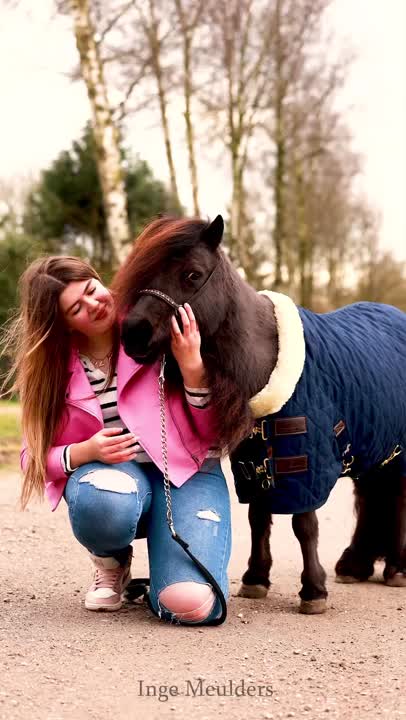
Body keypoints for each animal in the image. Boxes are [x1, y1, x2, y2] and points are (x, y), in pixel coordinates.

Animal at [111, 214, 406, 614]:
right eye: (143, 270)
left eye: (192, 274)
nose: (133, 333)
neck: (266, 362)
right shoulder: (252, 464)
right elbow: (258, 518)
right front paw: (256, 578)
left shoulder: (305, 464)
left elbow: (304, 525)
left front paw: (313, 590)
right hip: (374, 452)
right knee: (372, 500)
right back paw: (355, 565)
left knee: (398, 503)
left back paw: (396, 569)